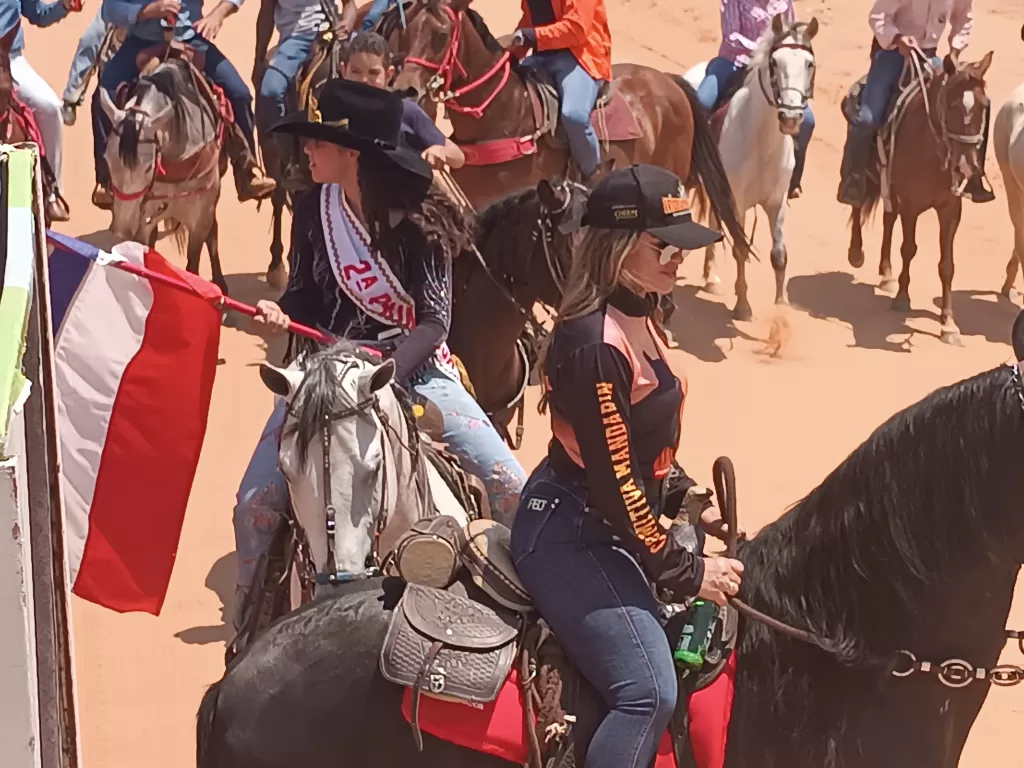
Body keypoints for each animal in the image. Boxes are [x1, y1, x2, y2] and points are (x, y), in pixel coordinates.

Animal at [98, 57, 231, 298]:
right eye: (107, 160)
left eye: (149, 167)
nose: (123, 228)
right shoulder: (145, 218)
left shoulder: (200, 218)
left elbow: (193, 264)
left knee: (213, 233)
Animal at [388, 0, 750, 264]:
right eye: (405, 30)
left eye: (441, 35)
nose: (406, 90)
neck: (506, 113)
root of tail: (671, 84)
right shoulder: (474, 202)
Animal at [844, 48, 993, 345]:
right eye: (951, 105)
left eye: (983, 106)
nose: (966, 168)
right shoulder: (911, 206)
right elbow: (909, 248)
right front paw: (903, 298)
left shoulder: (950, 209)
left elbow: (947, 265)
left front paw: (948, 324)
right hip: (867, 174)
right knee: (857, 206)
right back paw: (856, 253)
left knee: (888, 219)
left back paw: (887, 273)